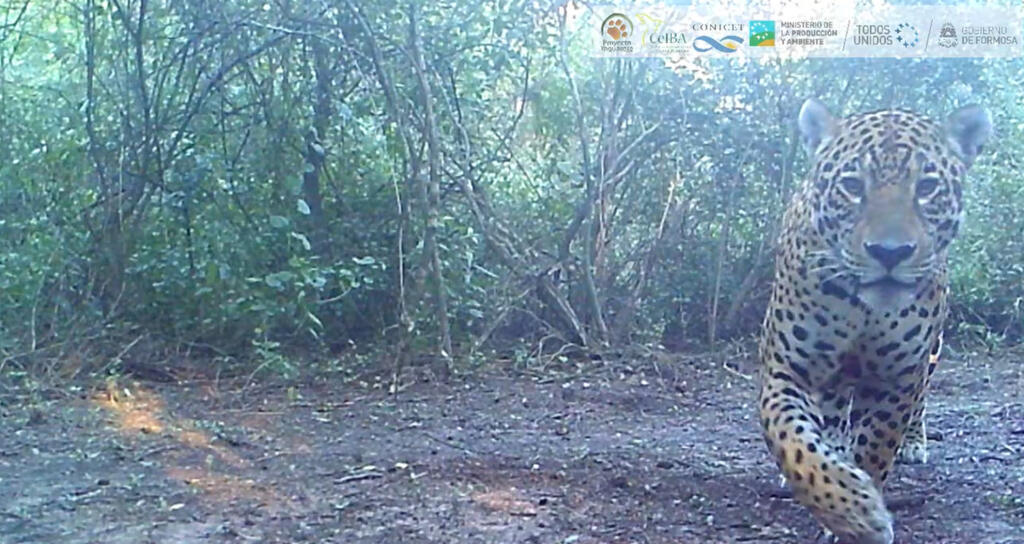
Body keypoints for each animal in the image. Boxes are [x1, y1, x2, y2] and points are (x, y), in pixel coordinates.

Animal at [757, 98, 991, 544]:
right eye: (852, 185)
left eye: (927, 188)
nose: (890, 252)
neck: (860, 308)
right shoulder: (787, 369)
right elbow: (792, 441)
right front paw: (851, 508)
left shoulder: (897, 378)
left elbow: (876, 445)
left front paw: (855, 518)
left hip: (931, 355)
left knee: (920, 400)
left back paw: (912, 442)